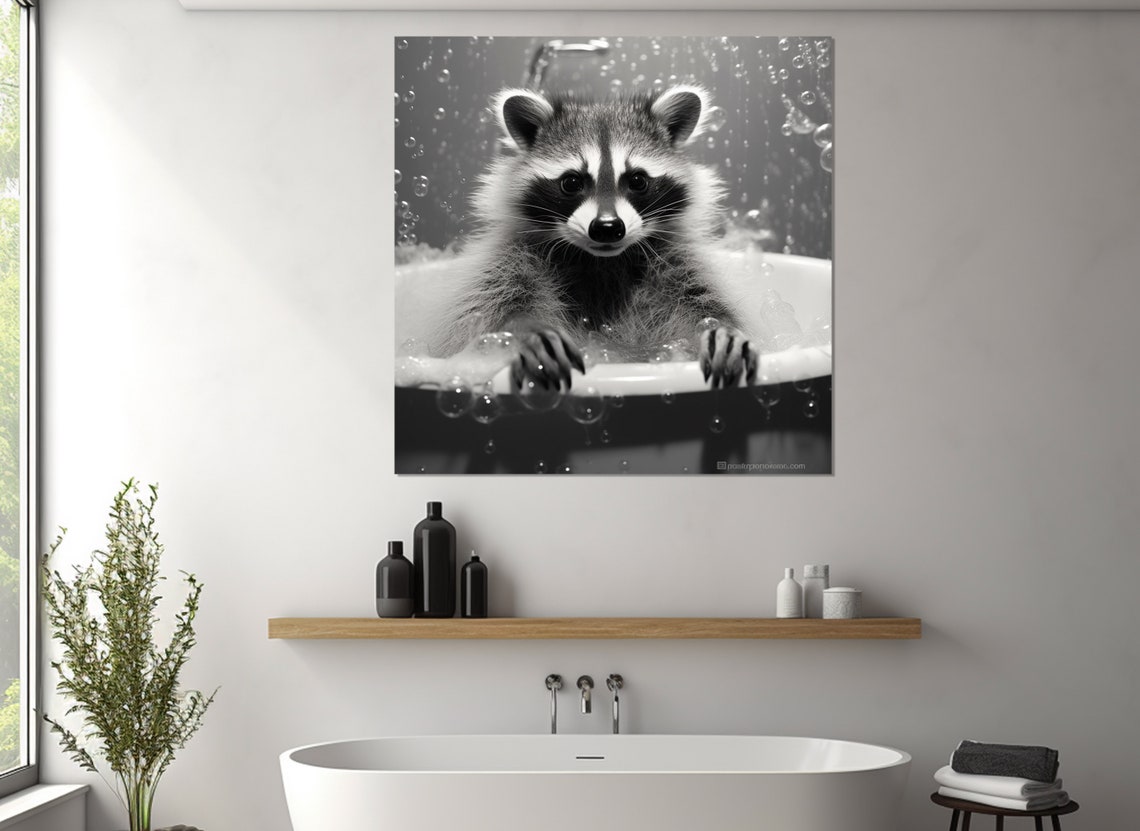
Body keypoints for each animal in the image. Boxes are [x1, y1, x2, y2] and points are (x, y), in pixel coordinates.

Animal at [432, 85, 757, 391]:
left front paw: (716, 327)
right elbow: (491, 311)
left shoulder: (676, 262)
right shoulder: (509, 260)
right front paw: (526, 329)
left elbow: (700, 304)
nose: (607, 227)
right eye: (571, 182)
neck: (600, 260)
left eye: (637, 180)